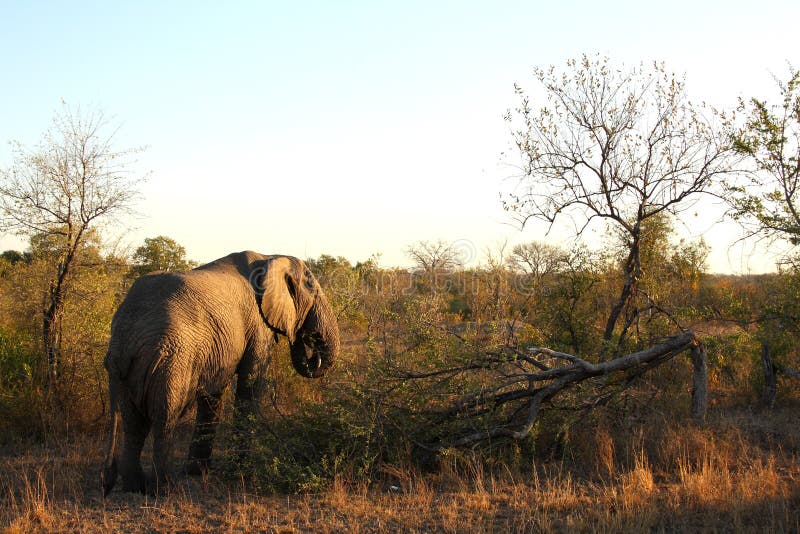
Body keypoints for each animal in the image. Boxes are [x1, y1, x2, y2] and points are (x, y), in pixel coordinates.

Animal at [101, 253, 340, 496]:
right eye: (310, 287)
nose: (303, 339)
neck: (269, 257)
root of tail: (122, 341)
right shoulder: (258, 324)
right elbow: (250, 386)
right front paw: (243, 471)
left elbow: (213, 394)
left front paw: (199, 472)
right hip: (172, 359)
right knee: (164, 419)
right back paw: (166, 488)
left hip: (130, 370)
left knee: (134, 424)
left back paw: (135, 486)